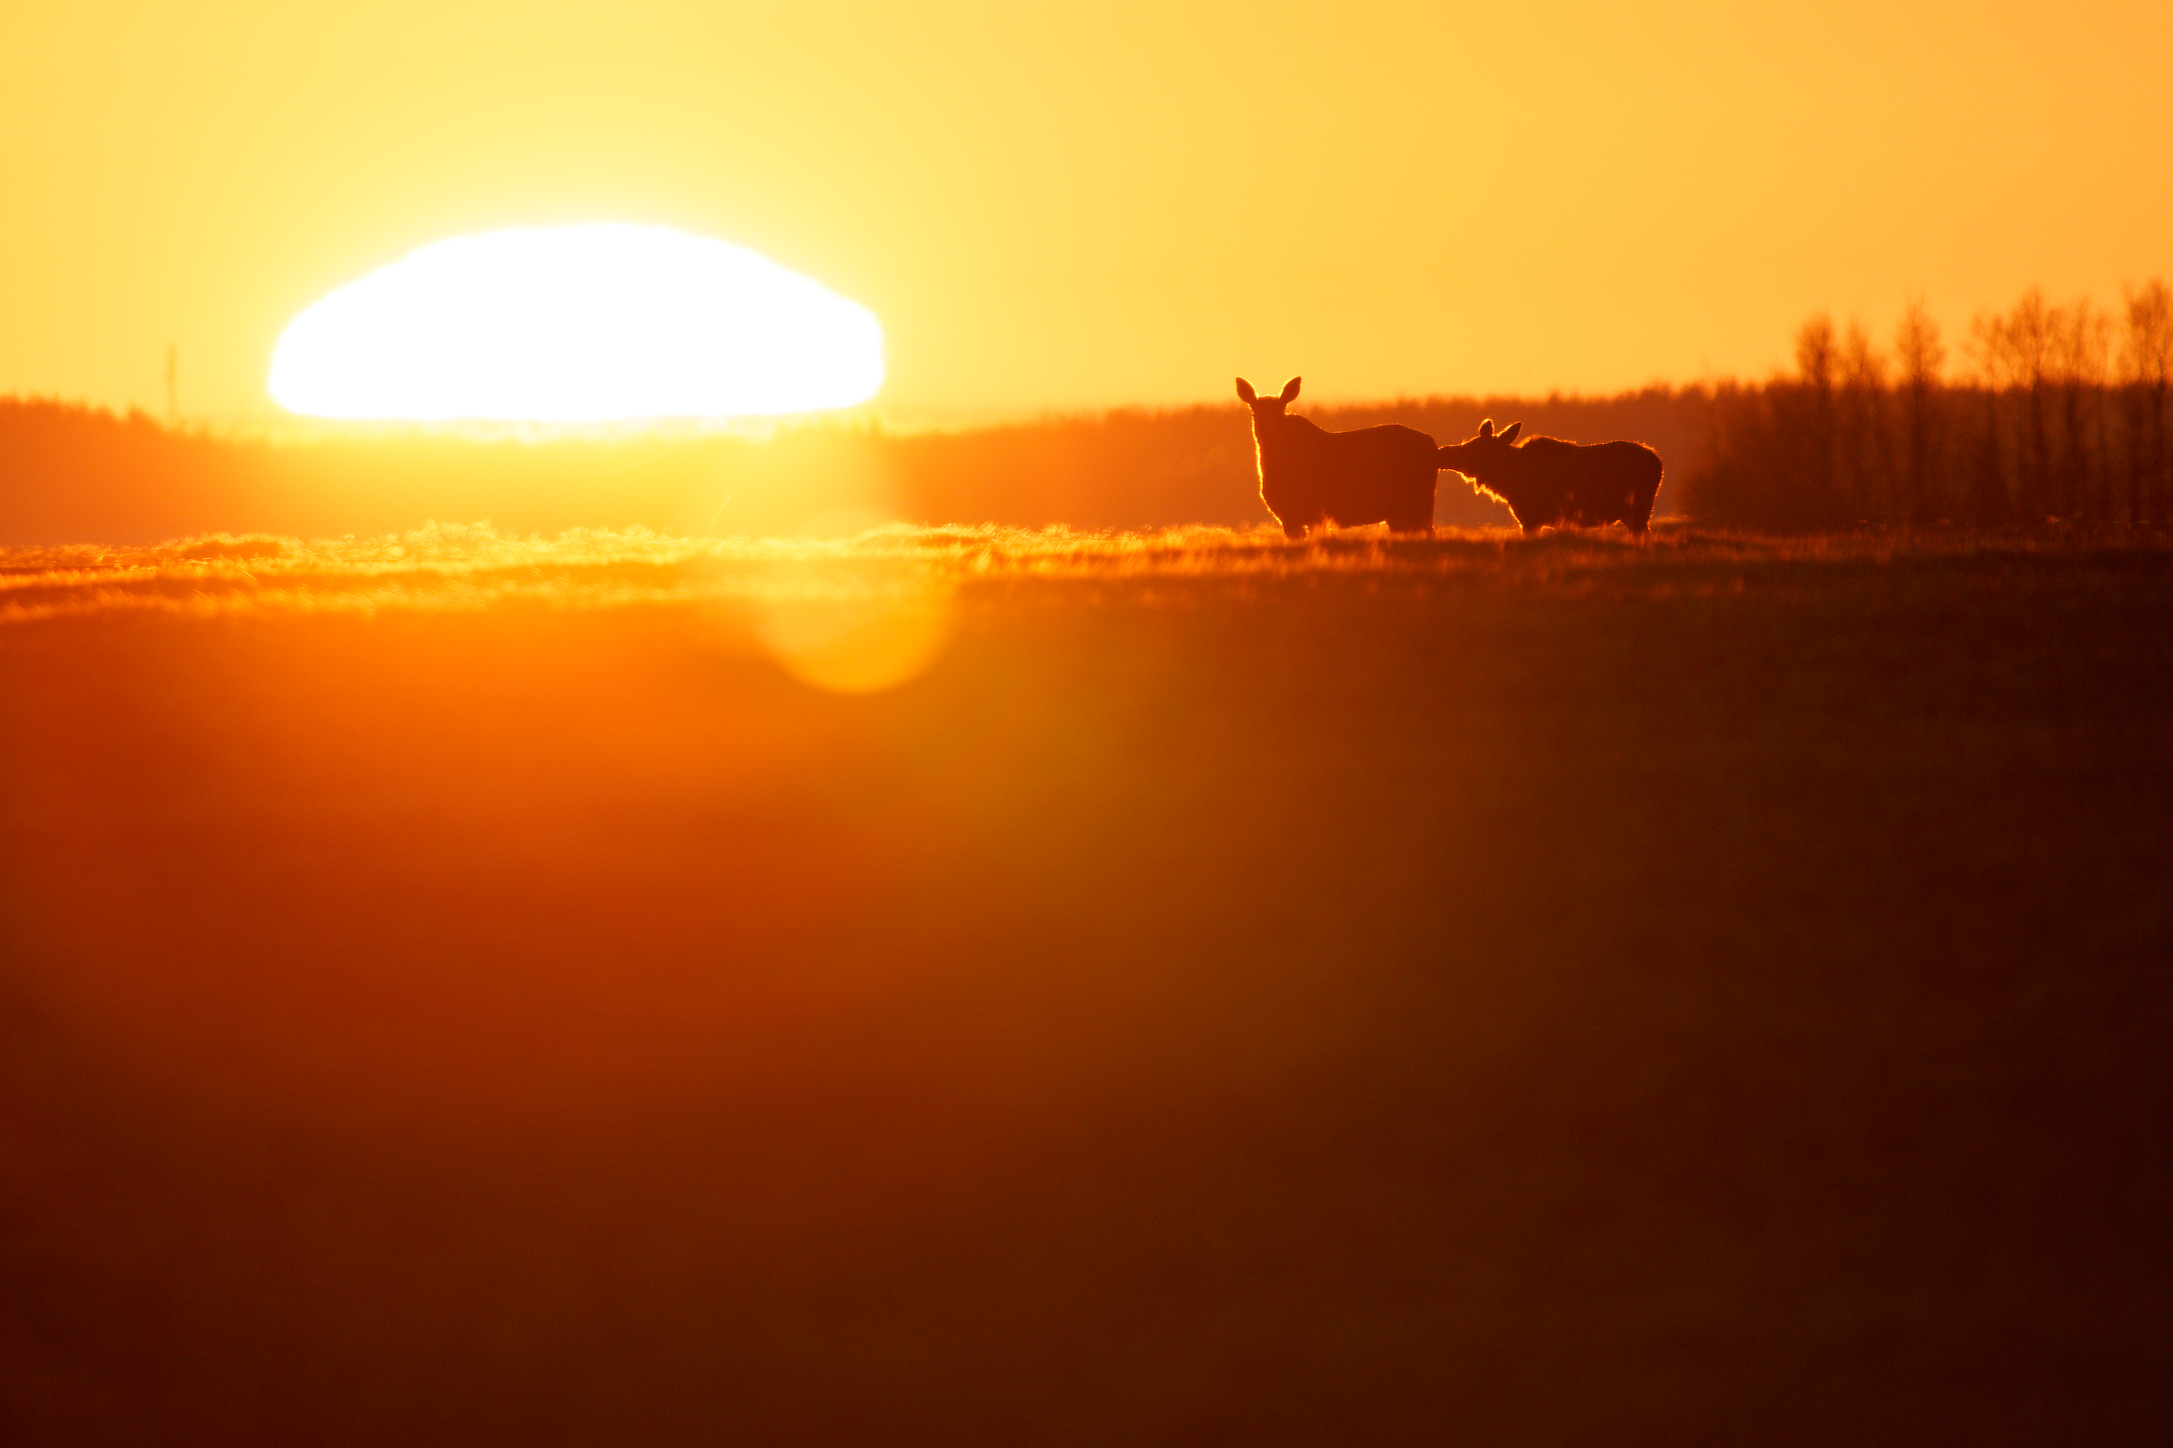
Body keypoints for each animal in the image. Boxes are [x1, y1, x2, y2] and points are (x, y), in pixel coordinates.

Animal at [1237, 377, 1439, 539]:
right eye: (1254, 413)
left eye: (1281, 412)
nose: (1267, 434)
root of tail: (1434, 447)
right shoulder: (1289, 516)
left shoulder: (1312, 513)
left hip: (1419, 505)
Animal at [1435, 420, 1664, 535]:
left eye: (1473, 447)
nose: (1443, 452)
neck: (1507, 482)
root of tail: (1659, 463)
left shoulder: (1531, 519)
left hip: (1638, 509)